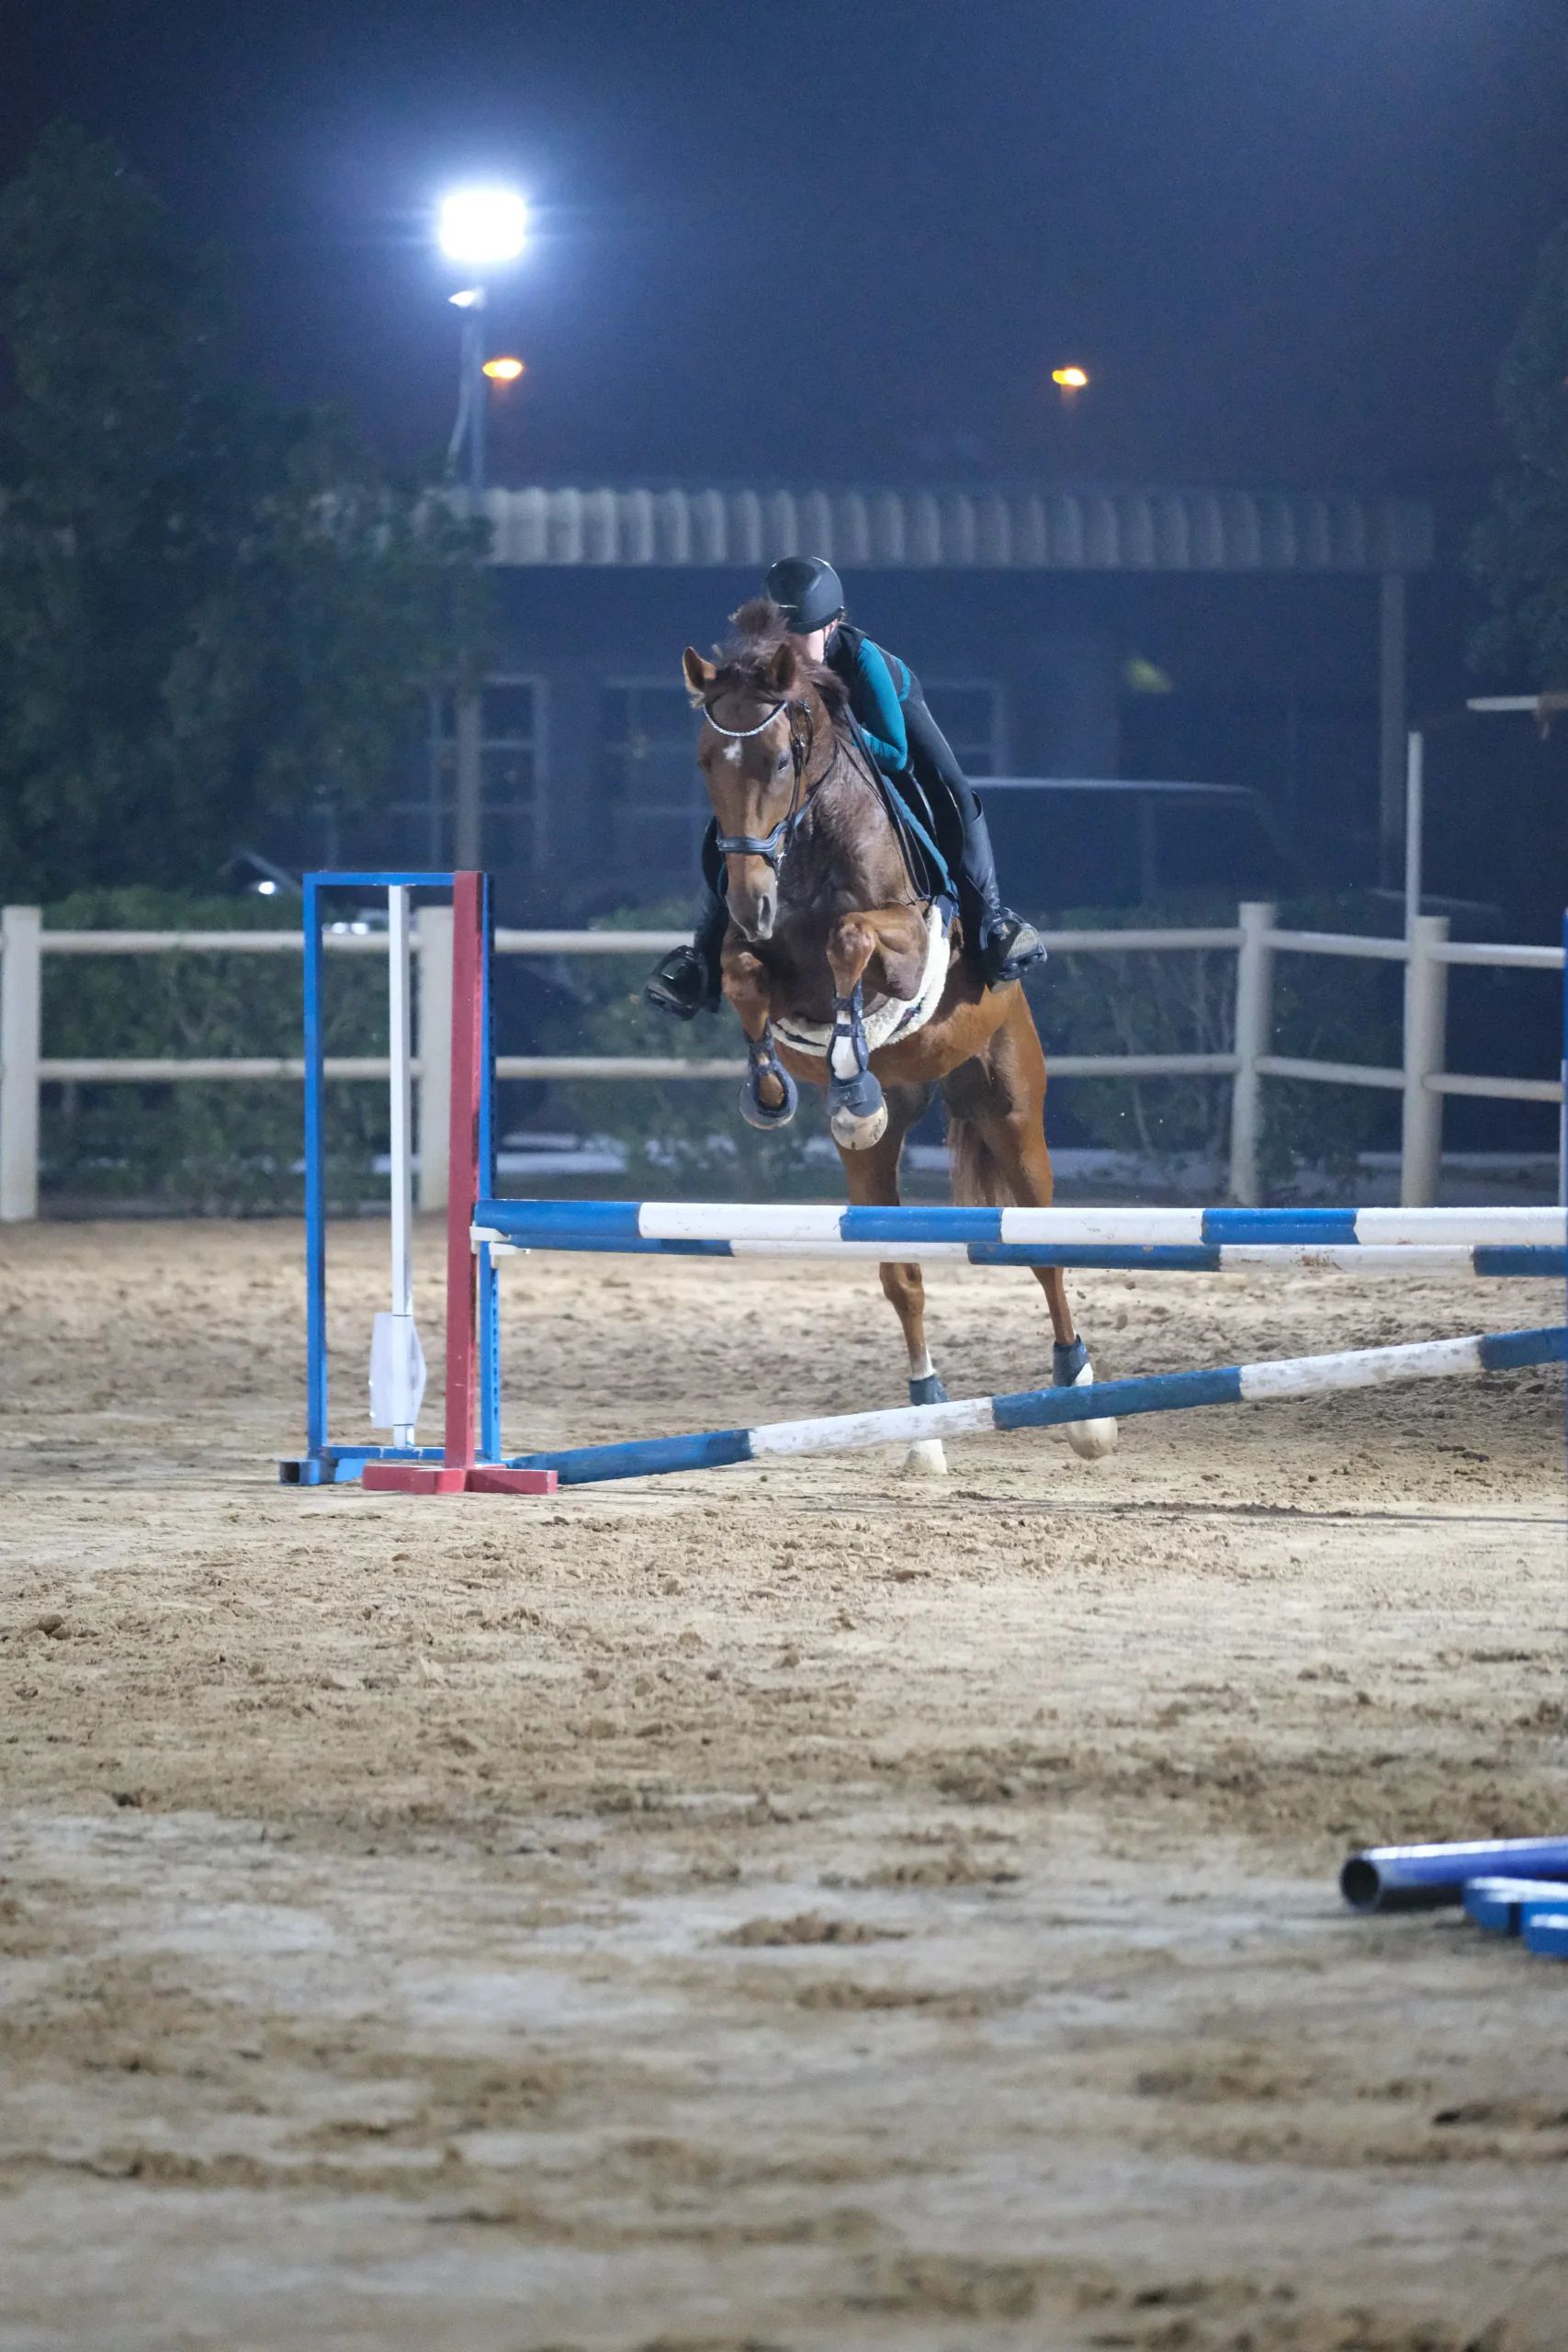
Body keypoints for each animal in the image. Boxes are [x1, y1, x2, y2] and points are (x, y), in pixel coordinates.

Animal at [681, 600, 1117, 1474]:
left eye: (779, 761)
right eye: (708, 760)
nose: (750, 902)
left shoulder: (907, 941)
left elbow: (851, 939)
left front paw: (849, 1056)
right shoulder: (761, 961)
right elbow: (744, 976)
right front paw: (773, 1087)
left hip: (1009, 1110)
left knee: (1043, 1249)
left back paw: (1083, 1406)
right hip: (878, 1156)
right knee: (901, 1273)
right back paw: (924, 1427)